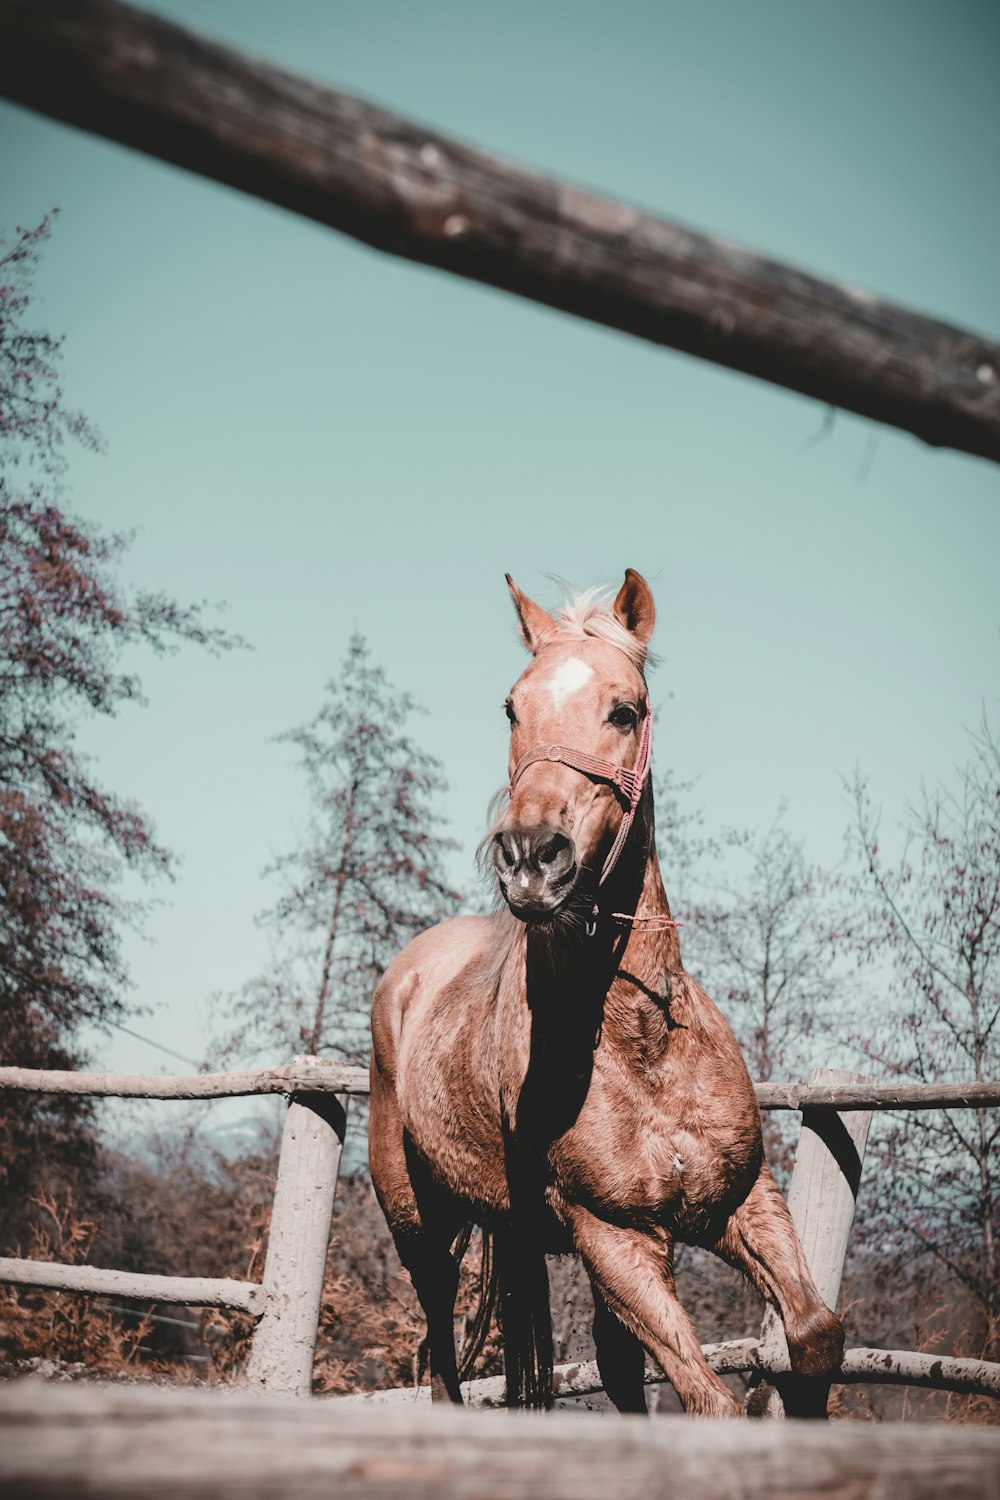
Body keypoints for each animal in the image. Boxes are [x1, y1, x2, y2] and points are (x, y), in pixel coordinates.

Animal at [371, 567, 839, 1410]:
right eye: (512, 707)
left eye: (626, 710)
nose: (529, 857)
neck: (641, 1044)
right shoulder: (614, 1239)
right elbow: (711, 1400)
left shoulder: (742, 1201)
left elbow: (815, 1336)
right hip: (420, 1225)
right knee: (443, 1362)